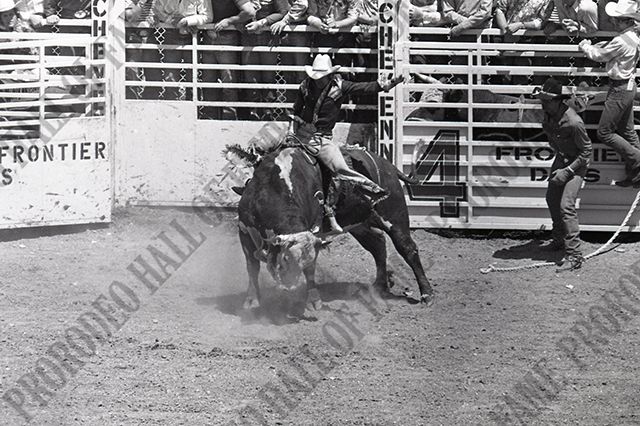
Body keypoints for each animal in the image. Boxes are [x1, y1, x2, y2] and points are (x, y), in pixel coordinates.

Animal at [236, 145, 434, 315]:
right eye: (285, 258)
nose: (289, 284)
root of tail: (389, 166)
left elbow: (310, 271)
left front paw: (313, 300)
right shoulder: (244, 231)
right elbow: (251, 266)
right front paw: (251, 300)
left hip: (395, 216)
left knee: (407, 249)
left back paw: (427, 294)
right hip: (360, 225)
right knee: (378, 246)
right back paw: (379, 286)